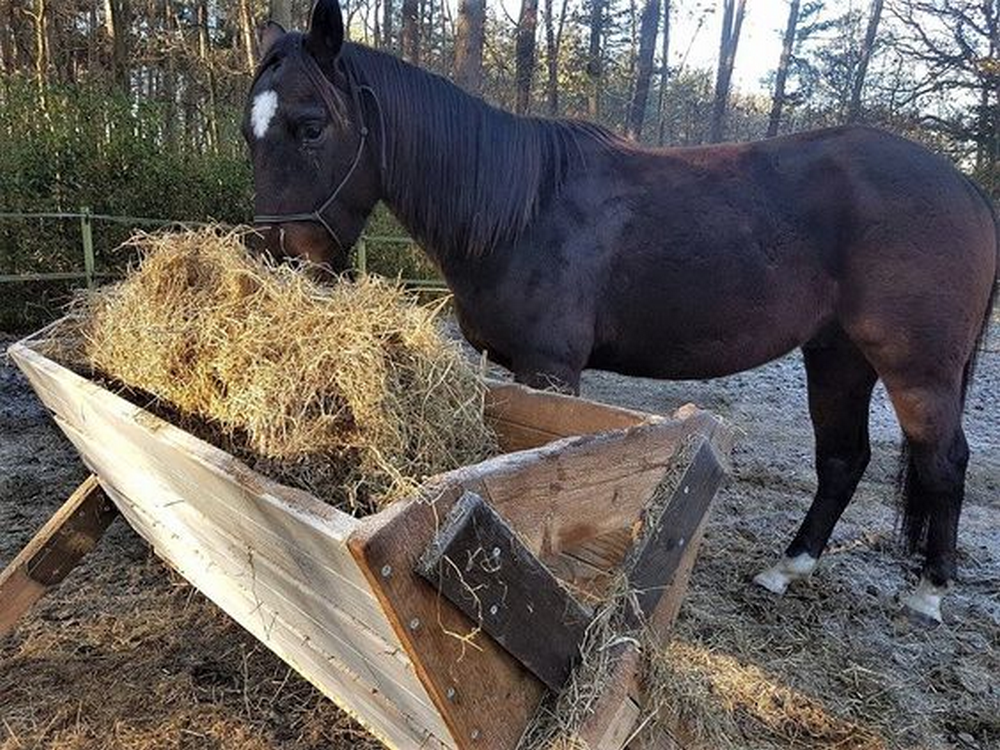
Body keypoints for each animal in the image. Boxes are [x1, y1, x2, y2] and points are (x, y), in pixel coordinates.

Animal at [244, 0, 1000, 624]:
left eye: (310, 127)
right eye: (249, 133)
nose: (278, 260)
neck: (523, 209)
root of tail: (966, 189)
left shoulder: (550, 367)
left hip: (916, 369)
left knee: (943, 463)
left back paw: (929, 593)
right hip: (838, 355)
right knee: (843, 459)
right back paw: (788, 569)